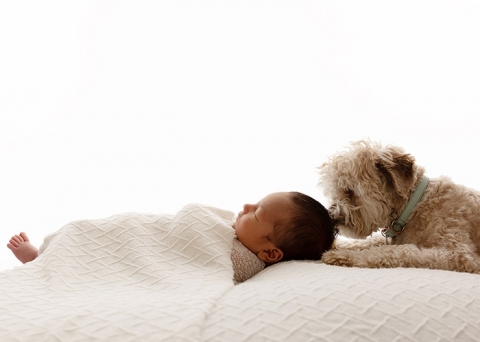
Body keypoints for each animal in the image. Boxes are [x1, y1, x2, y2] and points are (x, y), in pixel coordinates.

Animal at [318, 140, 480, 274]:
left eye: (349, 191)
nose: (331, 215)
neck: (414, 206)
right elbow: (370, 242)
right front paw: (339, 245)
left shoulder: (458, 255)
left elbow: (398, 252)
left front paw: (344, 255)